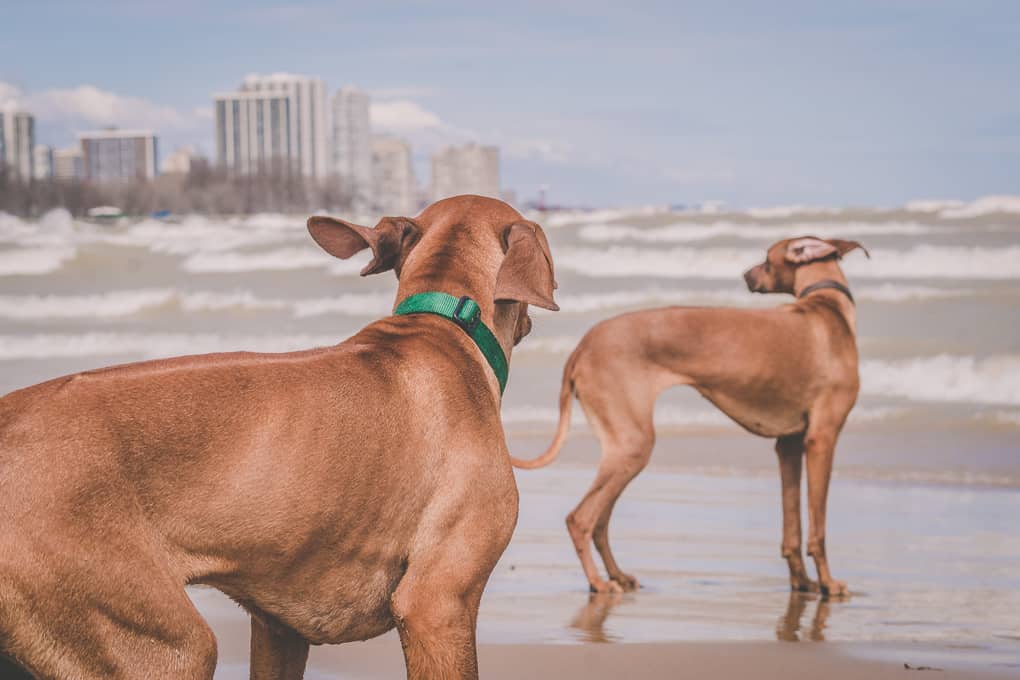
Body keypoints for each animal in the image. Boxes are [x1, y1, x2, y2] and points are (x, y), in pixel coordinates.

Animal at [510, 236, 869, 599]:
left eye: (767, 260)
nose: (745, 275)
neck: (827, 307)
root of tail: (582, 346)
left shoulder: (790, 445)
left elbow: (792, 528)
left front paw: (804, 582)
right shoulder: (822, 439)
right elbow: (818, 529)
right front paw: (828, 583)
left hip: (623, 450)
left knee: (600, 522)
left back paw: (618, 575)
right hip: (633, 445)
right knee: (581, 518)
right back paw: (598, 582)